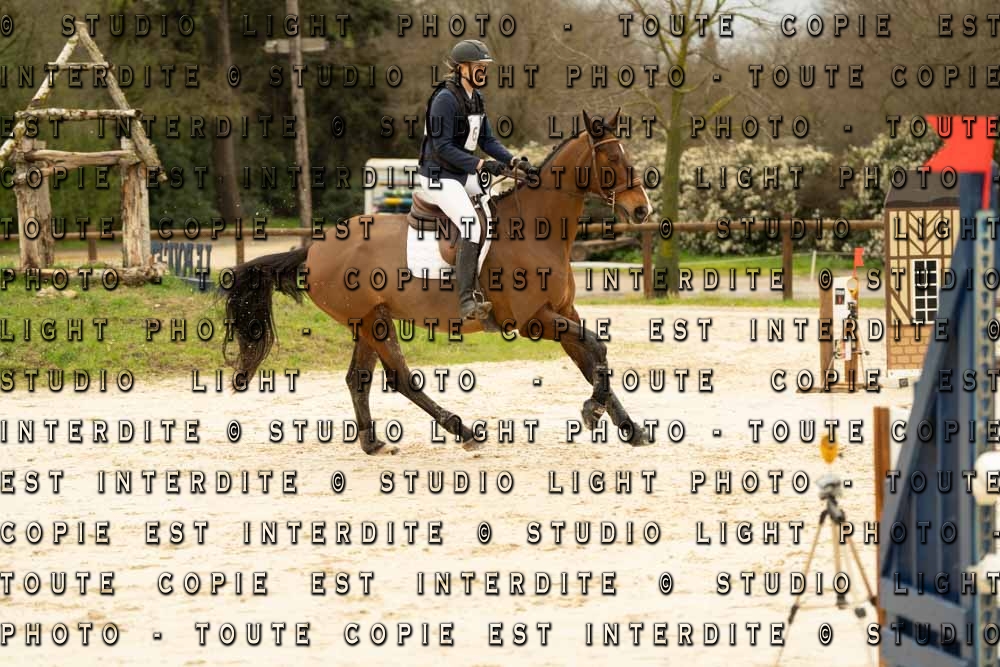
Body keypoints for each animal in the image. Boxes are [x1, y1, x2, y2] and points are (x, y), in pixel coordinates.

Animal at [223, 108, 654, 455]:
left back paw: (373, 442)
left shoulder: (563, 311)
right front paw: (592, 411)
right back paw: (463, 431)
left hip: (368, 319)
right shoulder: (535, 320)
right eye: (612, 157)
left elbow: (592, 359)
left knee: (358, 379)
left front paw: (628, 427)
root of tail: (315, 247)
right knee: (401, 379)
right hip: (372, 322)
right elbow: (597, 348)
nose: (642, 209)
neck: (536, 229)